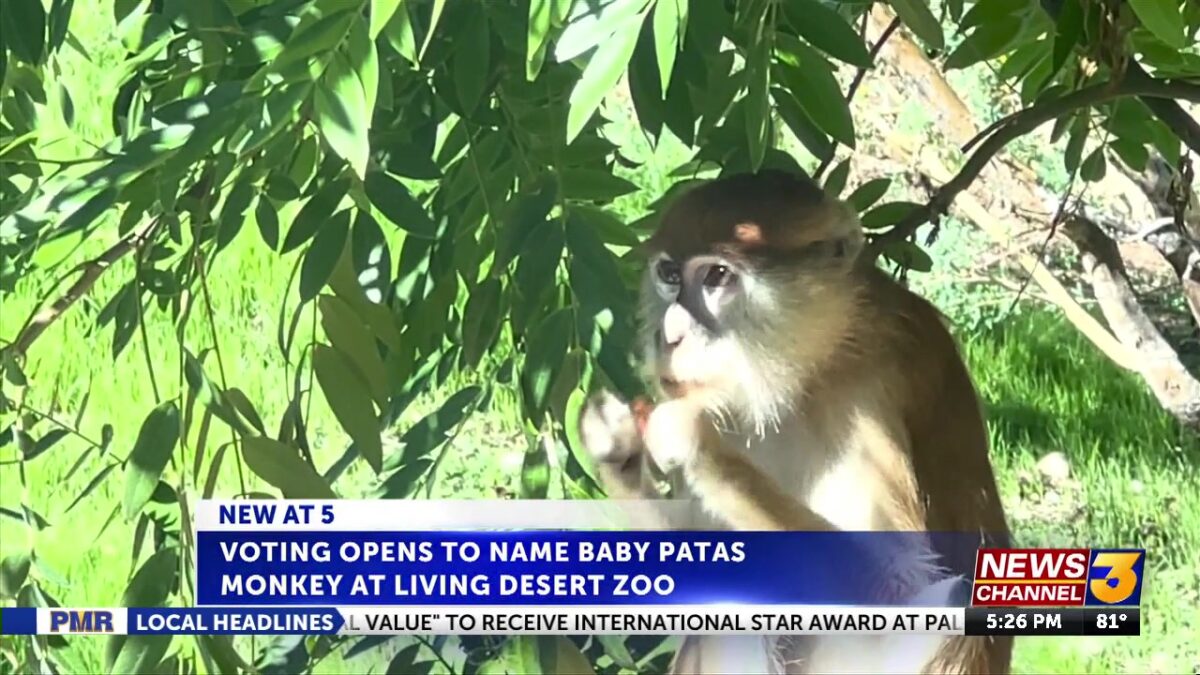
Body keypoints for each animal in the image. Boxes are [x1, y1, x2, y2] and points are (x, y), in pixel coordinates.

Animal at [578, 169, 1011, 674]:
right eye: (669, 275)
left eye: (717, 276)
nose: (669, 335)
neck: (813, 364)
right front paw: (620, 454)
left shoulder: (870, 392)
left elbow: (908, 592)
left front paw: (696, 445)